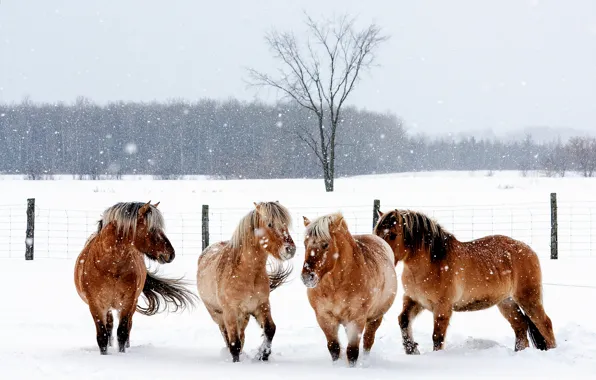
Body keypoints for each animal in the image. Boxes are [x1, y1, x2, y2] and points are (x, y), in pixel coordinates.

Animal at [73, 200, 197, 354]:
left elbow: (122, 332)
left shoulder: (128, 302)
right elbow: (102, 336)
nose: (171, 254)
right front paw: (105, 354)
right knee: (109, 325)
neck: (112, 268)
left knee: (127, 327)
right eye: (152, 229)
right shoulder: (96, 305)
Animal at [197, 202, 296, 362]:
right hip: (218, 315)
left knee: (242, 335)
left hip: (244, 317)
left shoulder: (261, 305)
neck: (248, 274)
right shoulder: (230, 312)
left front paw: (263, 354)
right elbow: (234, 343)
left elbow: (270, 329)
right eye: (270, 224)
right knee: (227, 335)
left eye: (285, 223)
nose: (290, 250)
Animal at [302, 212, 396, 366]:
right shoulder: (324, 317)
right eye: (305, 244)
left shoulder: (356, 319)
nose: (307, 277)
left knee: (368, 341)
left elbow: (352, 352)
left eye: (325, 244)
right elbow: (334, 348)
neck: (335, 286)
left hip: (375, 318)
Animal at [374, 208, 556, 354]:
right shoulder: (414, 300)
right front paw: (412, 350)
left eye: (392, 235)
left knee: (545, 323)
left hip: (528, 298)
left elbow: (437, 336)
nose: (382, 256)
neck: (433, 262)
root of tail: (529, 250)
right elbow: (403, 320)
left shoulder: (442, 307)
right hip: (506, 302)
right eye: (376, 233)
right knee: (520, 326)